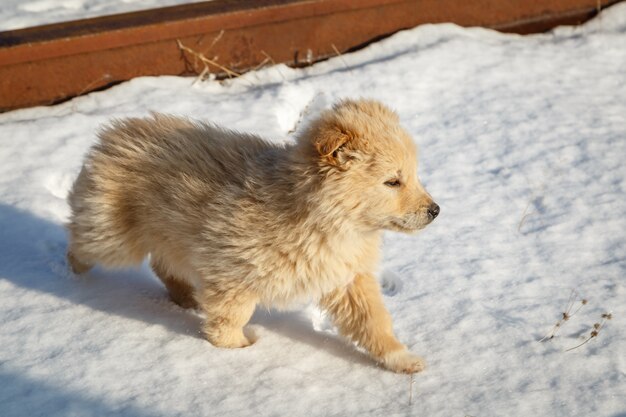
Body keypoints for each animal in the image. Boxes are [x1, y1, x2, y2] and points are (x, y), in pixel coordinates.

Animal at [66, 99, 438, 372]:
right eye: (392, 181)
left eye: (413, 175)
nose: (435, 211)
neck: (323, 220)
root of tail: (115, 132)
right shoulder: (233, 273)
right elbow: (230, 319)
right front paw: (239, 352)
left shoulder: (348, 278)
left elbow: (374, 321)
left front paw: (401, 359)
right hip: (114, 237)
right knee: (82, 242)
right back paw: (70, 277)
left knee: (163, 265)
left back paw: (187, 299)